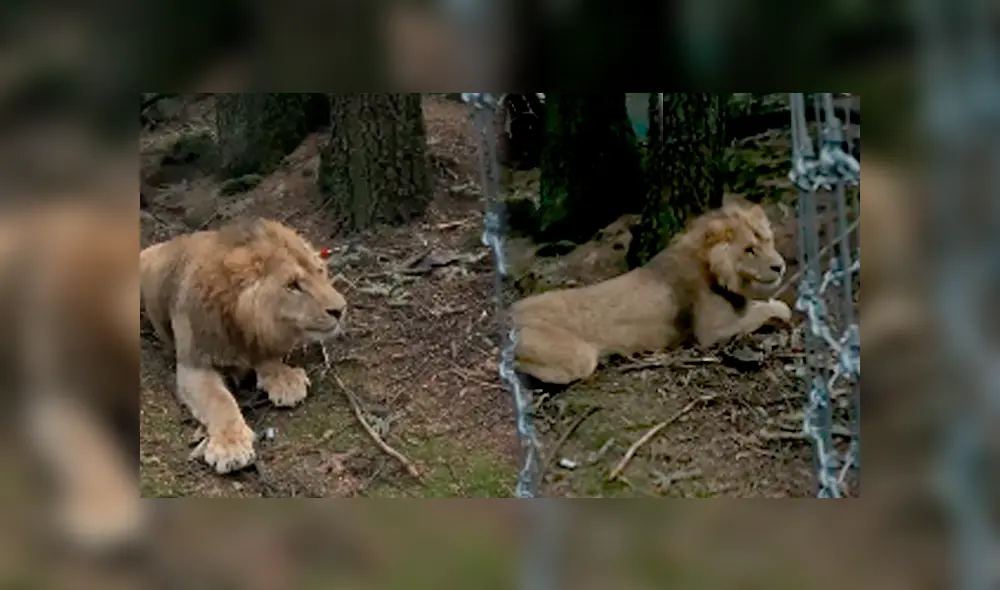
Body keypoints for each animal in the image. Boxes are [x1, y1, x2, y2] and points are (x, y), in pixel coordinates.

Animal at [140, 218, 347, 474]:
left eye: (320, 272)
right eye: (293, 285)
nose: (341, 309)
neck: (240, 325)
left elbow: (267, 357)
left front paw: (286, 380)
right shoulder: (194, 366)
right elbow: (220, 400)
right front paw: (231, 447)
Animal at [511, 201, 792, 384]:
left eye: (768, 241)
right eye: (749, 249)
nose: (780, 266)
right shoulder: (712, 332)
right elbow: (769, 308)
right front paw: (782, 312)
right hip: (577, 357)